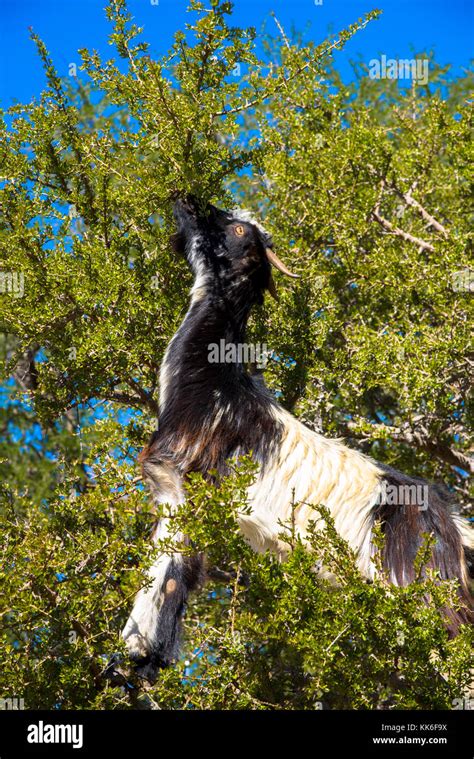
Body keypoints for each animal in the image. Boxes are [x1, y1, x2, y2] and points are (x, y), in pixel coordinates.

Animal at [123, 196, 474, 684]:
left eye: (236, 229)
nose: (187, 201)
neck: (213, 381)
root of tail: (450, 524)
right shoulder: (172, 496)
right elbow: (165, 572)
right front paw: (135, 656)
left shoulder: (187, 488)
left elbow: (172, 576)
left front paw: (143, 654)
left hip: (422, 582)